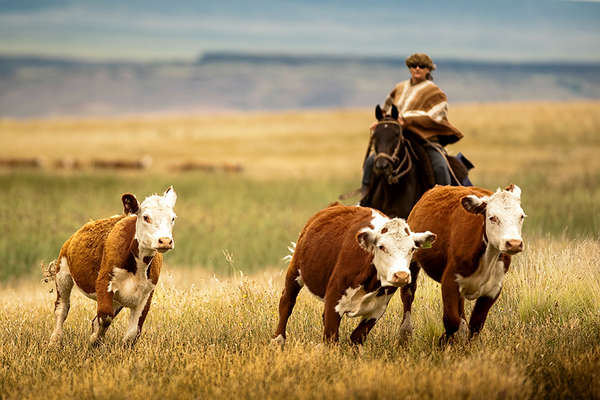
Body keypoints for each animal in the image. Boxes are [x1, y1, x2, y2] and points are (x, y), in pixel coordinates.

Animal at [49, 186, 177, 346]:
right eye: (146, 217)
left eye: (173, 218)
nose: (165, 241)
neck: (138, 266)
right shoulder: (104, 281)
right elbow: (105, 317)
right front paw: (94, 340)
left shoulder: (147, 293)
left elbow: (133, 332)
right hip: (63, 273)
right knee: (62, 307)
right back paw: (55, 340)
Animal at [274, 203, 436, 346]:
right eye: (381, 247)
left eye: (412, 249)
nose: (401, 275)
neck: (371, 281)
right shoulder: (334, 299)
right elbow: (331, 339)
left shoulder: (378, 308)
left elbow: (356, 337)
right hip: (295, 270)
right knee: (287, 302)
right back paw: (278, 340)